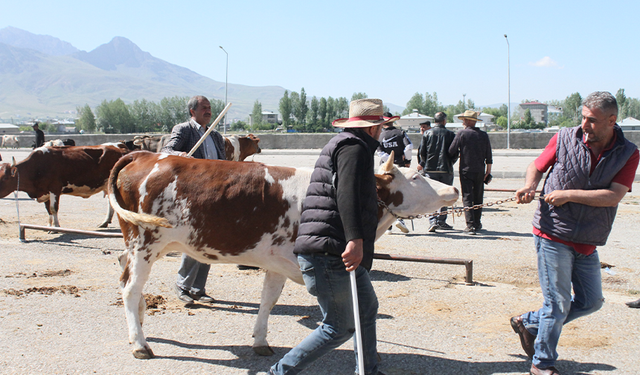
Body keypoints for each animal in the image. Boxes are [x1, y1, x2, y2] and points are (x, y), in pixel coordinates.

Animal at [0, 144, 130, 228]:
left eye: (5, 178)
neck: (37, 167)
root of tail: (120, 148)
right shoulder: (45, 192)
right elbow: (48, 210)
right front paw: (49, 225)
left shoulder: (54, 188)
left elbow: (53, 208)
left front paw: (56, 227)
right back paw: (104, 222)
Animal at [110, 151, 460, 360]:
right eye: (414, 177)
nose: (453, 189)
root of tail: (145, 154)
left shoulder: (276, 261)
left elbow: (268, 301)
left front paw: (260, 341)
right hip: (145, 242)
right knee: (130, 289)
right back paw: (140, 343)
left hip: (141, 247)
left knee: (128, 281)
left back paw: (138, 326)